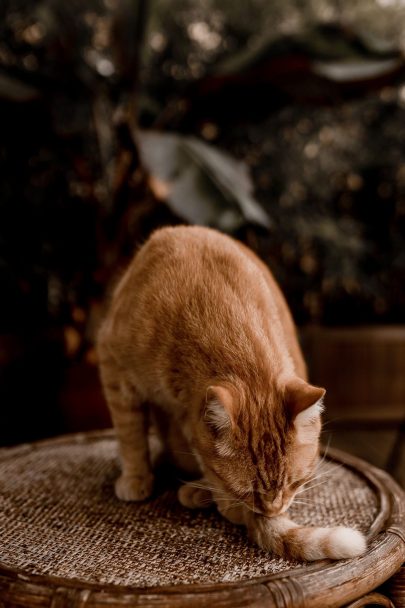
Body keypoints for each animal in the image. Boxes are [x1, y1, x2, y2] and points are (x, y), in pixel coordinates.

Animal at [98, 227, 366, 560]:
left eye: (295, 483)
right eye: (246, 490)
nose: (273, 511)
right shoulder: (114, 366)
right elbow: (130, 433)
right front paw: (136, 476)